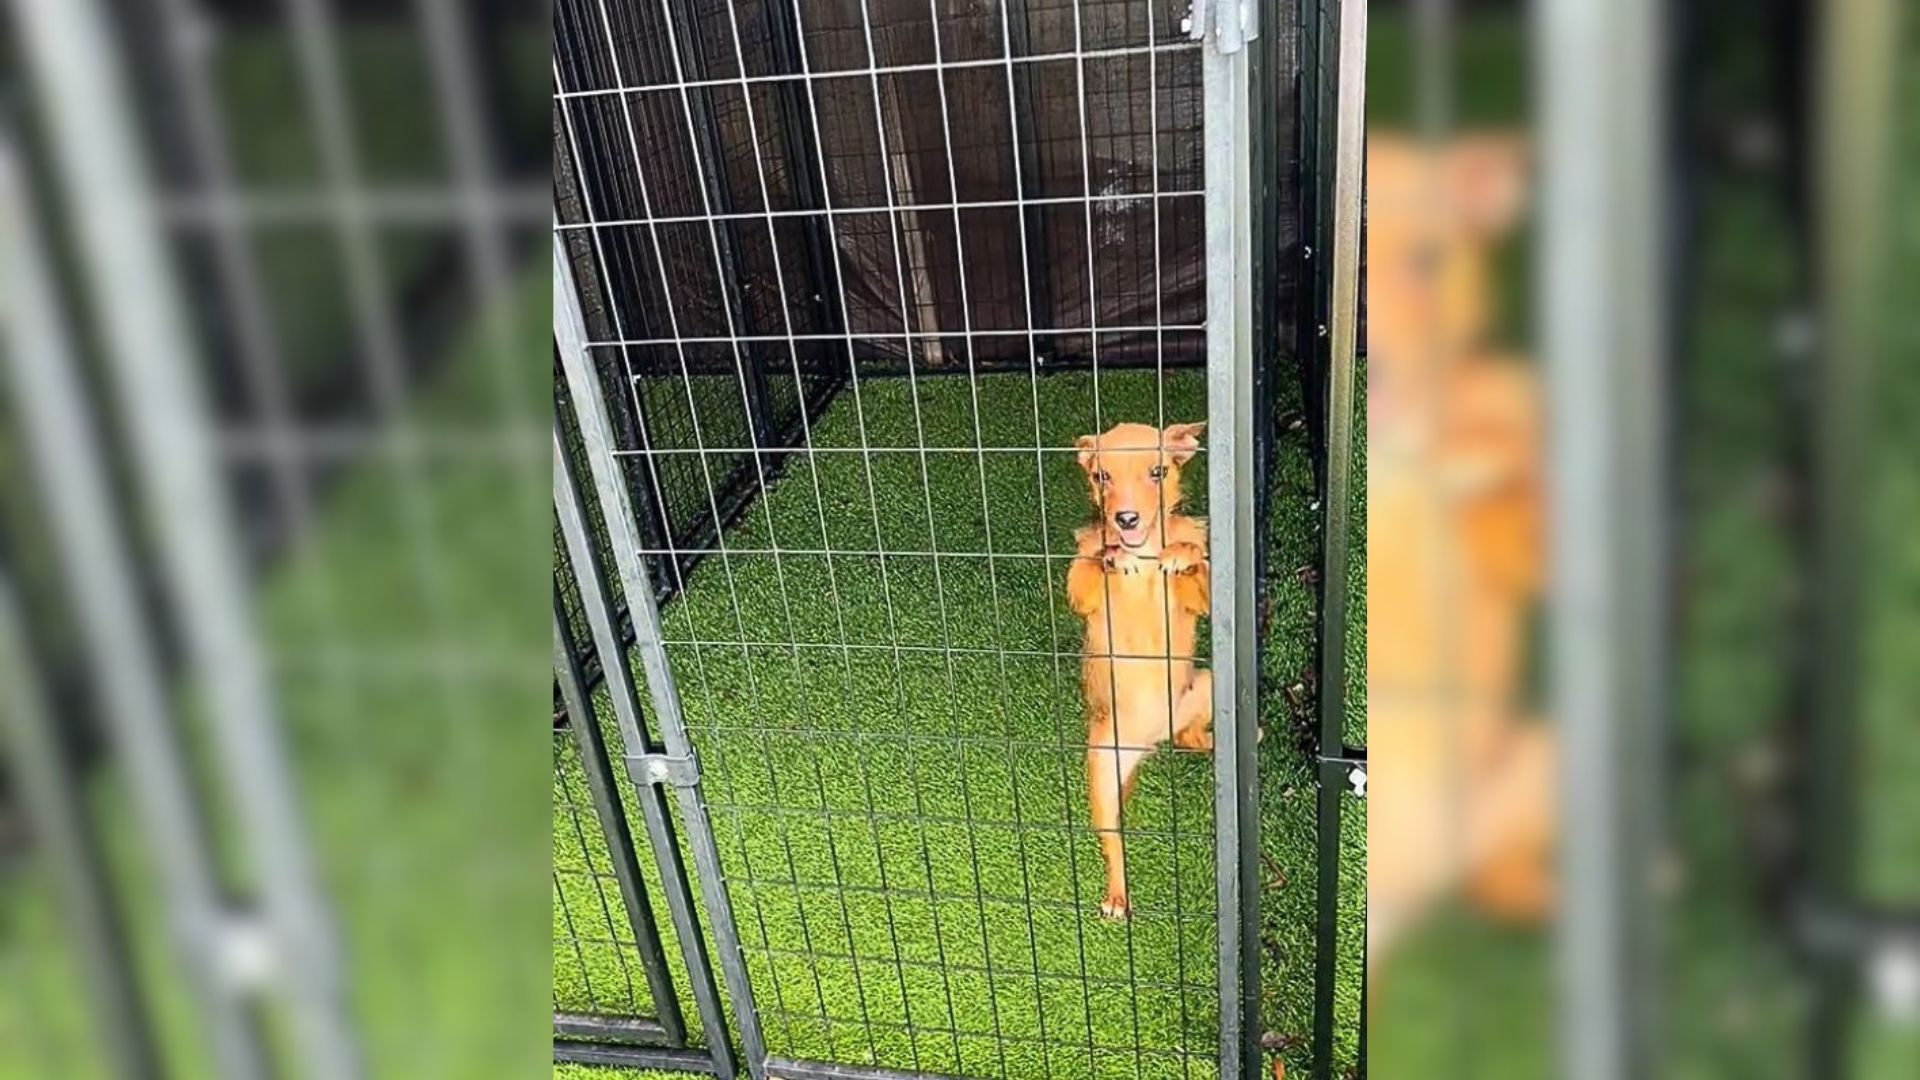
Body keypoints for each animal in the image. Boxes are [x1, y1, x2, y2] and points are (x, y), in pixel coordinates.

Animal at [1067, 417, 1213, 910]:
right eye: (1101, 477)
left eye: (1157, 472)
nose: (1125, 519)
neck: (1145, 551)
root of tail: (1150, 742)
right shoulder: (1081, 592)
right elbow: (1090, 565)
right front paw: (1113, 555)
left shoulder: (1200, 601)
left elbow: (1196, 562)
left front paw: (1182, 553)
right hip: (1102, 775)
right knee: (1112, 843)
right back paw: (1117, 896)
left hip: (1207, 686)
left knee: (1189, 737)